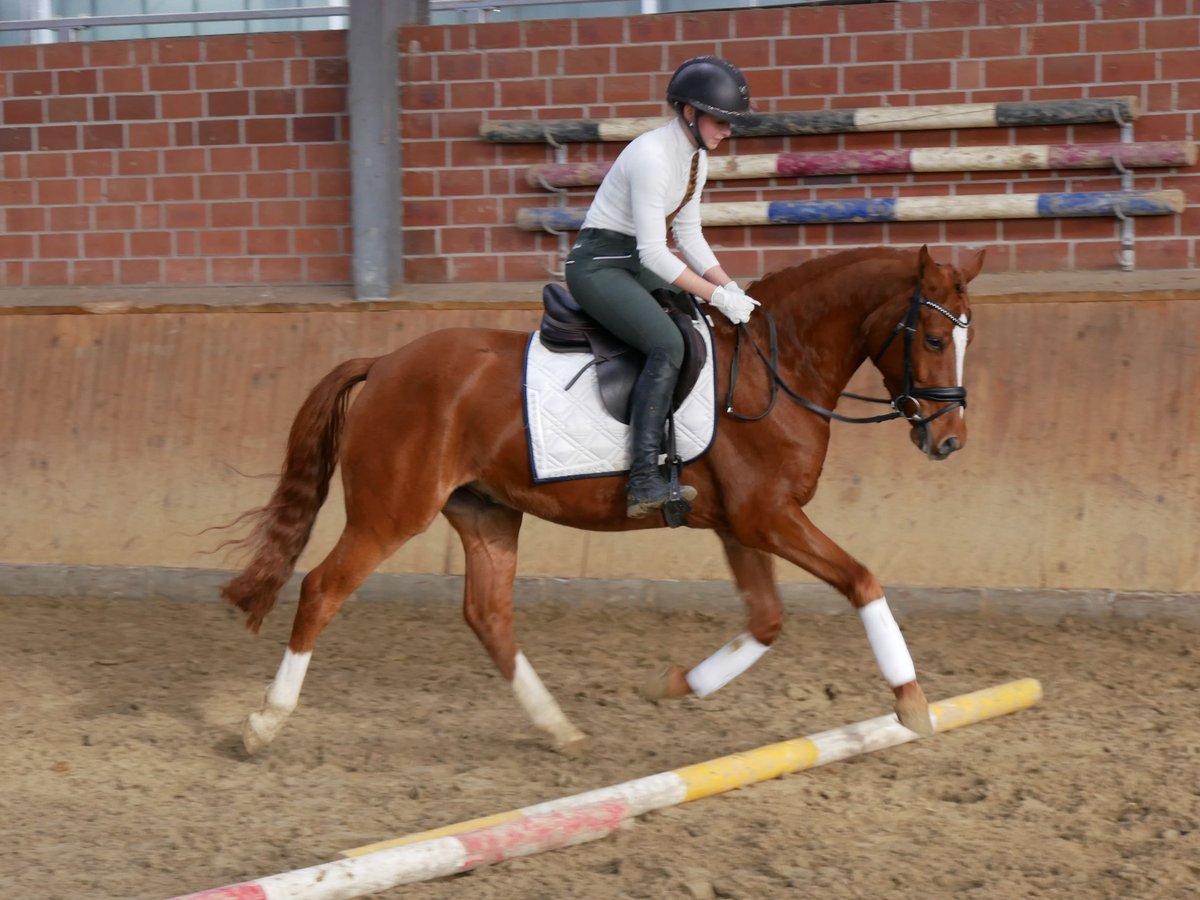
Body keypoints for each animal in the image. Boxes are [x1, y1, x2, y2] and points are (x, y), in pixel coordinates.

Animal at [220, 243, 979, 758]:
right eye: (934, 337)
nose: (948, 441)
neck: (776, 368)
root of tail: (383, 363)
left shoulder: (742, 525)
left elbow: (766, 621)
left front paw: (673, 685)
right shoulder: (767, 517)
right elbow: (862, 581)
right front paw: (912, 704)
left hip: (486, 511)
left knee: (487, 615)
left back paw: (559, 728)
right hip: (391, 513)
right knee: (323, 589)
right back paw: (263, 723)